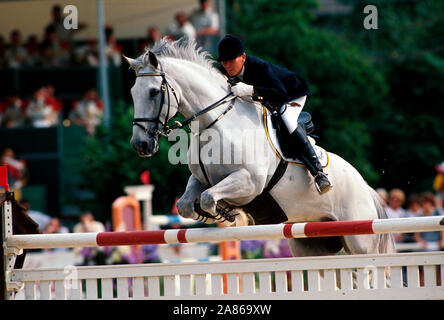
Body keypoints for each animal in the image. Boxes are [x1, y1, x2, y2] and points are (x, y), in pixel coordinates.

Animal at [125, 38, 396, 258]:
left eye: (153, 92)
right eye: (132, 92)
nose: (141, 145)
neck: (215, 123)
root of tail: (365, 186)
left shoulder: (249, 182)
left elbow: (210, 197)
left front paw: (232, 215)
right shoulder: (201, 178)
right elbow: (185, 204)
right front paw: (213, 214)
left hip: (360, 240)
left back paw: (322, 179)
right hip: (310, 243)